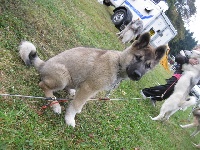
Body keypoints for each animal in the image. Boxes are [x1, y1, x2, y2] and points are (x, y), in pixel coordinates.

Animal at [19, 32, 166, 126]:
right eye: (138, 57)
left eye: (148, 66)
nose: (137, 75)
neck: (118, 65)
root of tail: (43, 65)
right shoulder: (89, 88)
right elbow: (76, 105)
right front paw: (69, 119)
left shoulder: (89, 90)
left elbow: (79, 103)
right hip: (63, 76)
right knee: (43, 85)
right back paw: (55, 104)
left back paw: (70, 91)